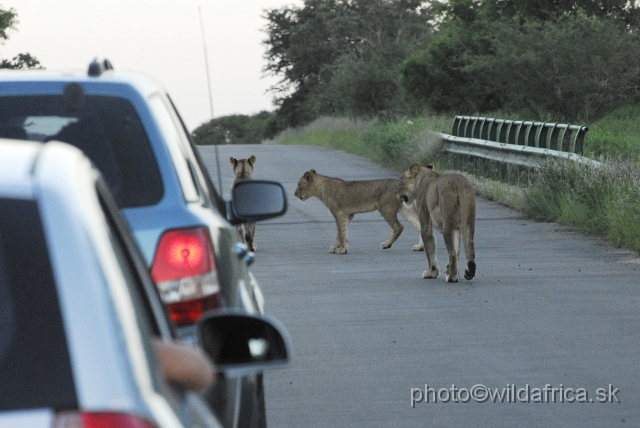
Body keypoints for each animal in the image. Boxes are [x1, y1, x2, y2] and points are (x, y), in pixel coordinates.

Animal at [294, 168, 422, 254]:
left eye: (299, 184)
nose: (294, 194)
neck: (321, 189)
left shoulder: (340, 213)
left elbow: (340, 232)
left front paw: (342, 249)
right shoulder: (349, 215)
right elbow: (342, 232)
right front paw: (337, 247)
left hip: (385, 207)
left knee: (398, 227)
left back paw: (387, 244)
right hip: (405, 208)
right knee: (420, 225)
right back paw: (420, 247)